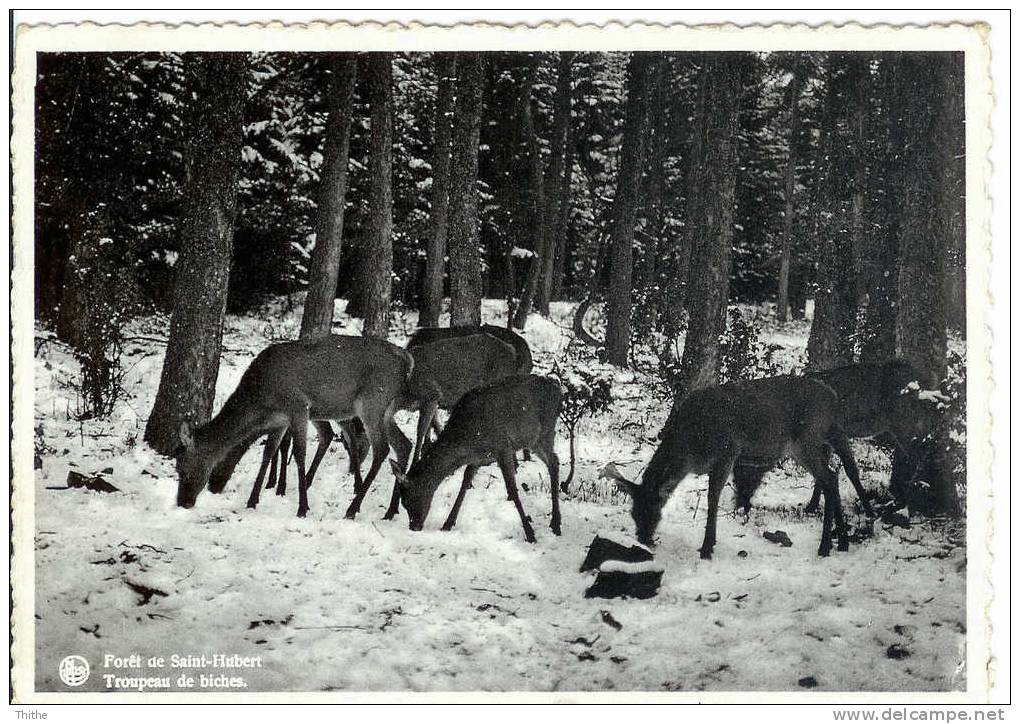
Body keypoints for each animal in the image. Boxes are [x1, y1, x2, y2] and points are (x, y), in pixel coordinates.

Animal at [173, 336, 412, 518]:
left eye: (182, 467)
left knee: (382, 449)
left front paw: (302, 508)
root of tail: (406, 360)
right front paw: (252, 500)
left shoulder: (298, 407)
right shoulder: (280, 420)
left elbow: (299, 454)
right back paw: (391, 511)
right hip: (386, 410)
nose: (183, 502)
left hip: (372, 402)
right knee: (403, 444)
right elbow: (268, 452)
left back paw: (352, 509)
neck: (262, 398)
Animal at [389, 377, 567, 542]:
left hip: (544, 433)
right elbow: (465, 483)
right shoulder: (478, 458)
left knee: (554, 461)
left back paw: (556, 524)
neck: (467, 442)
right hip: (534, 439)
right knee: (554, 461)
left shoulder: (503, 447)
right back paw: (555, 522)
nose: (414, 526)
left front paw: (530, 534)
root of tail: (557, 388)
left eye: (409, 499)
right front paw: (448, 524)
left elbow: (512, 490)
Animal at [603, 377, 860, 558]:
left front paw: (707, 547)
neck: (691, 447)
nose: (643, 539)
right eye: (633, 513)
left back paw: (825, 546)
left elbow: (712, 498)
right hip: (819, 441)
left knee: (829, 478)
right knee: (833, 477)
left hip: (805, 441)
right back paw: (842, 542)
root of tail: (833, 397)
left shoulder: (727, 453)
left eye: (654, 510)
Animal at [734, 356, 938, 515]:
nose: (740, 505)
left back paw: (906, 500)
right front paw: (812, 506)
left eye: (746, 471)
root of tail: (928, 382)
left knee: (919, 454)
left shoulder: (838, 432)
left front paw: (868, 509)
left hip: (904, 422)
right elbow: (825, 470)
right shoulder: (823, 440)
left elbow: (850, 469)